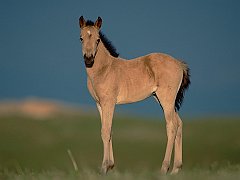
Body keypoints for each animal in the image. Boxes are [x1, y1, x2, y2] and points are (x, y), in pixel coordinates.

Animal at [78, 16, 190, 174]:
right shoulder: (99, 104)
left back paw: (164, 168)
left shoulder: (109, 102)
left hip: (166, 99)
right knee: (179, 124)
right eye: (81, 38)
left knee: (172, 126)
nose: (88, 59)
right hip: (162, 100)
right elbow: (108, 130)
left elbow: (105, 131)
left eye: (98, 39)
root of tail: (179, 64)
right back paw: (176, 169)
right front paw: (110, 166)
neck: (105, 69)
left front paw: (104, 167)